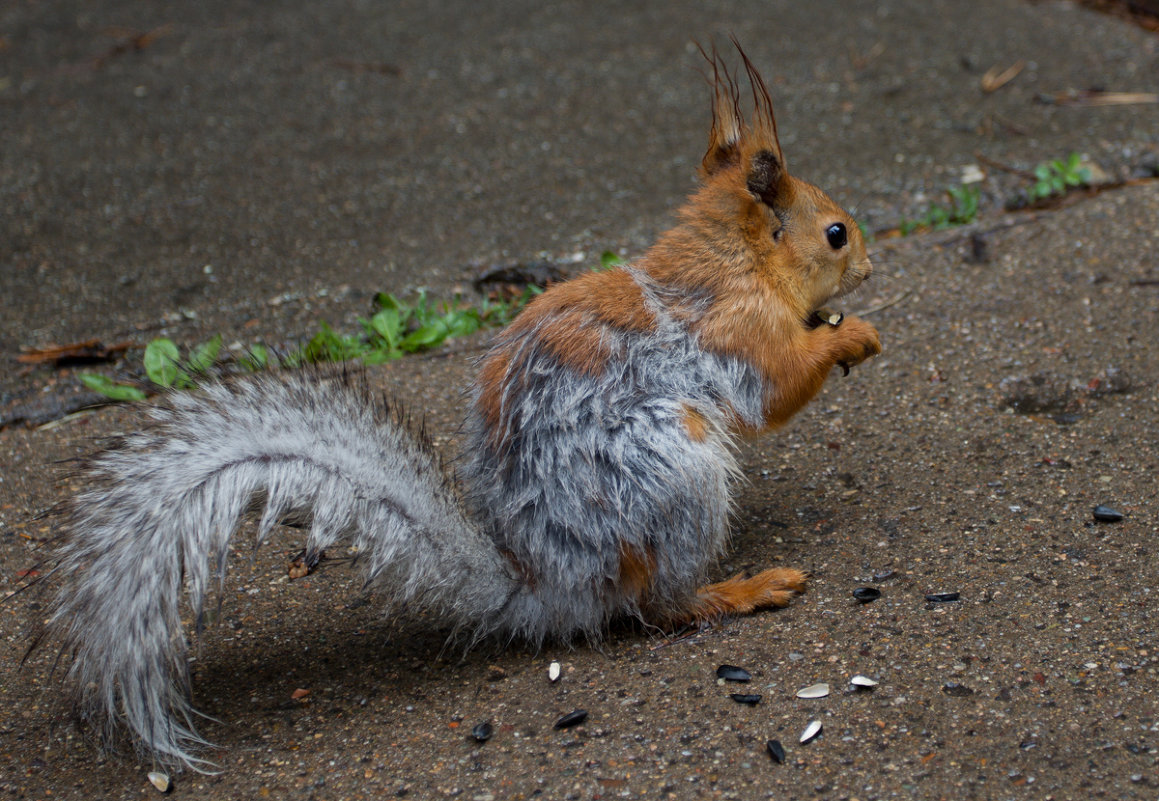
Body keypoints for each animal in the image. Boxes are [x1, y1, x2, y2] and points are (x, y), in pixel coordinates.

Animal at [33, 45, 876, 769]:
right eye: (834, 233)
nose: (869, 267)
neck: (730, 264)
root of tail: (557, 585)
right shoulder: (737, 333)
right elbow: (773, 390)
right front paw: (849, 336)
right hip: (672, 469)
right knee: (659, 607)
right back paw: (742, 589)